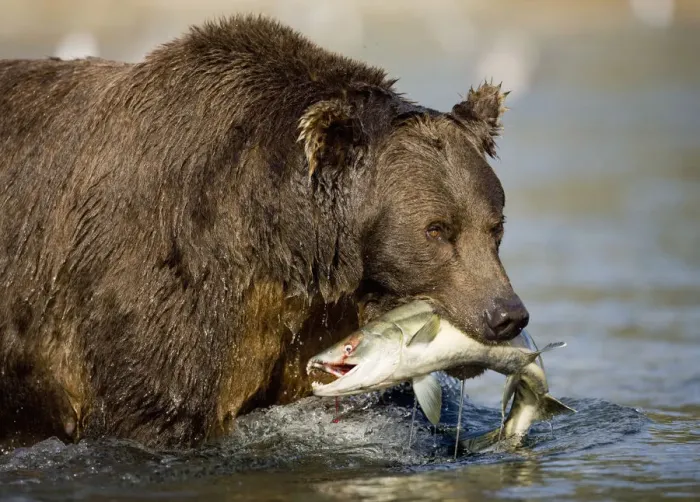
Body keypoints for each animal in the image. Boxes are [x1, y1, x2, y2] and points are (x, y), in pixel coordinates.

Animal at [0, 15, 529, 449]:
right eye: (437, 230)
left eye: (495, 225)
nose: (506, 315)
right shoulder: (156, 281)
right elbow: (154, 403)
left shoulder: (309, 325)